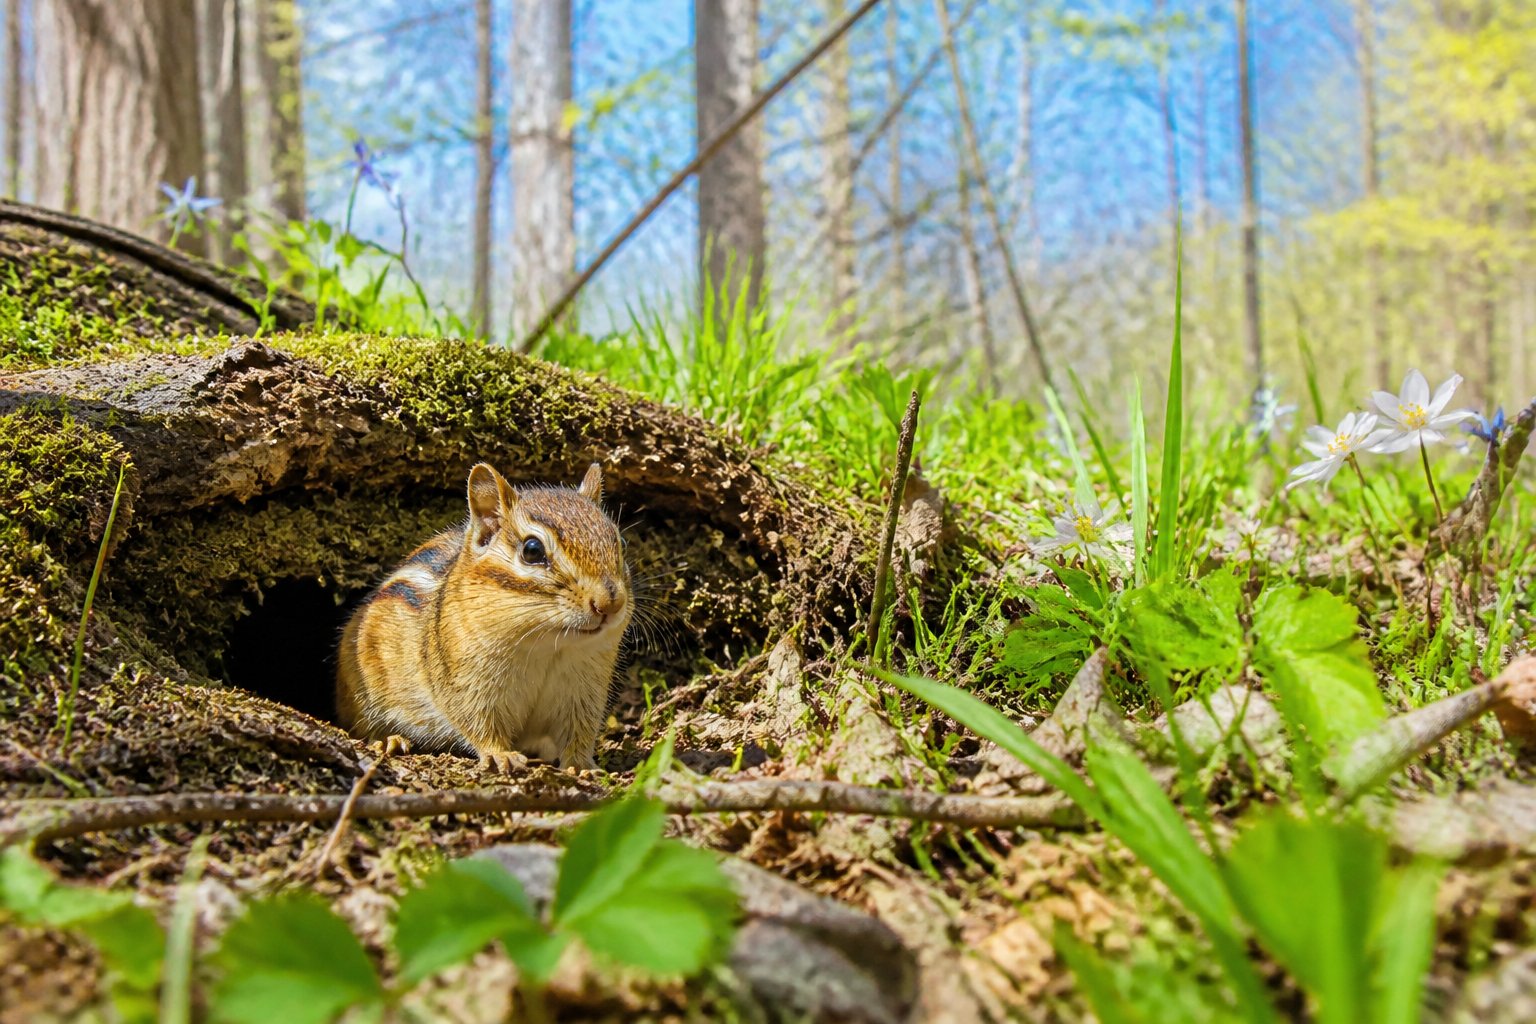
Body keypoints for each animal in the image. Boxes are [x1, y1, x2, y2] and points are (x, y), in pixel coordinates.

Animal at [335, 461, 631, 772]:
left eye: (621, 542)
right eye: (532, 550)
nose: (610, 603)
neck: (549, 645)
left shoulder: (585, 692)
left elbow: (580, 733)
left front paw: (583, 764)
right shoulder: (469, 686)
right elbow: (481, 725)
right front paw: (502, 755)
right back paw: (389, 740)